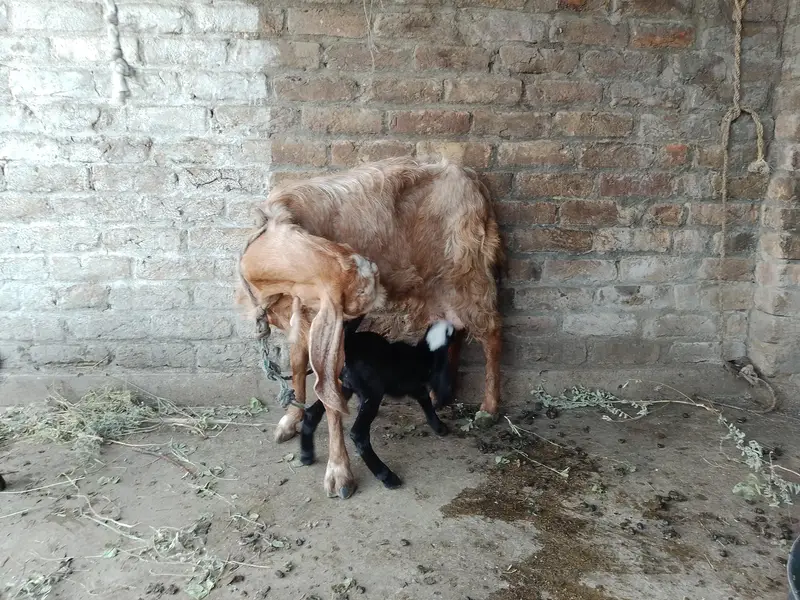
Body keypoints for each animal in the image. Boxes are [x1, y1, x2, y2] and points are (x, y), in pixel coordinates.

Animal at [299, 317, 455, 489]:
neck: (420, 354)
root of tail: (347, 344)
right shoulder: (412, 385)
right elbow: (425, 399)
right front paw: (439, 427)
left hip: (342, 387)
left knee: (312, 412)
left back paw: (306, 455)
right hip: (372, 392)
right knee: (358, 434)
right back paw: (387, 476)